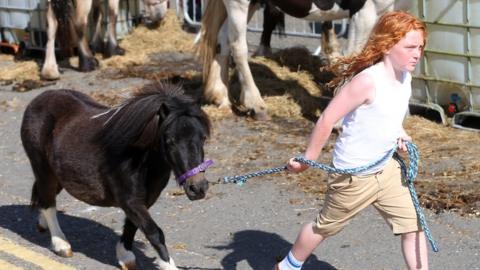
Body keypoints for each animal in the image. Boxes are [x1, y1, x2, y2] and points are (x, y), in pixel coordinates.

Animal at [20, 83, 212, 268]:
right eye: (170, 141)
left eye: (203, 138)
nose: (198, 188)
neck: (137, 158)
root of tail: (37, 101)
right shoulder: (130, 200)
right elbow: (154, 232)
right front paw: (167, 264)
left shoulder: (144, 200)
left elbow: (132, 226)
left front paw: (125, 257)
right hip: (44, 170)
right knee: (48, 203)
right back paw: (61, 245)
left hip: (59, 176)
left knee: (45, 198)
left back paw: (42, 224)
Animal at [41, 0, 169, 80]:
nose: (160, 16)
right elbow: (113, 14)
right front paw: (113, 49)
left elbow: (97, 13)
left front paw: (97, 45)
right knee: (79, 22)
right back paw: (87, 62)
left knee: (51, 25)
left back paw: (50, 71)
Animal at [197, 0, 410, 119]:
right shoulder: (364, 12)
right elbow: (354, 64)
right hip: (239, 3)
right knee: (237, 46)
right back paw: (255, 104)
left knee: (222, 41)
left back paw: (221, 97)